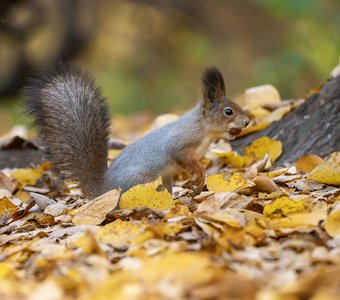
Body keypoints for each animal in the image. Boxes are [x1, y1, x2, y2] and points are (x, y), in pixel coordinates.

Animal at [23, 64, 251, 198]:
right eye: (228, 111)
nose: (248, 121)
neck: (203, 130)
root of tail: (104, 189)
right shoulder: (180, 145)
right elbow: (186, 159)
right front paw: (199, 175)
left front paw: (197, 181)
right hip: (141, 179)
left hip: (163, 177)